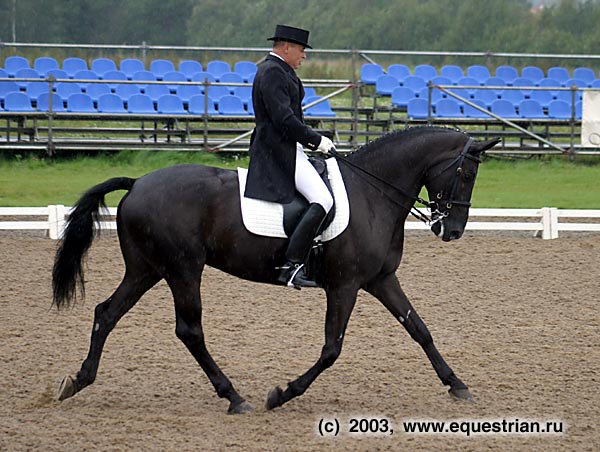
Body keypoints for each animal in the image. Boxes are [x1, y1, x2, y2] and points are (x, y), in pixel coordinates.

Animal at [51, 126, 500, 414]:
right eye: (466, 172)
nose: (452, 230)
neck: (373, 193)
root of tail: (138, 183)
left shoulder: (380, 280)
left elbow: (419, 330)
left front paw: (457, 385)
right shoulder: (345, 285)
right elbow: (331, 348)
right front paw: (283, 394)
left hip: (147, 269)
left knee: (107, 313)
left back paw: (77, 381)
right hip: (182, 269)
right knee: (189, 330)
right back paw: (234, 397)